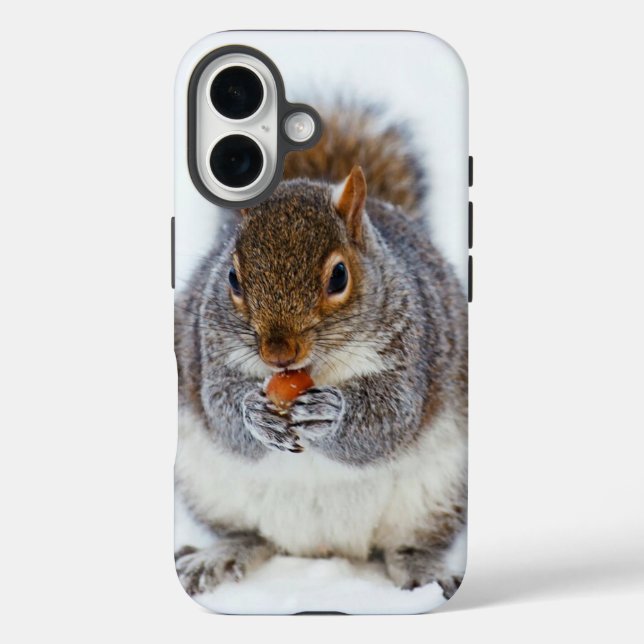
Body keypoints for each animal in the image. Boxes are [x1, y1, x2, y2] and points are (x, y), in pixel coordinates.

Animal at [174, 106, 468, 601]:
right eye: (232, 278)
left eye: (339, 277)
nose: (278, 354)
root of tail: (324, 548)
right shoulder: (206, 349)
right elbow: (221, 410)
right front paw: (254, 413)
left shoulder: (414, 350)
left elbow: (390, 418)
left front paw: (331, 413)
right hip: (206, 484)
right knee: (251, 534)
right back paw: (219, 555)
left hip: (440, 492)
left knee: (407, 544)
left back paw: (425, 569)